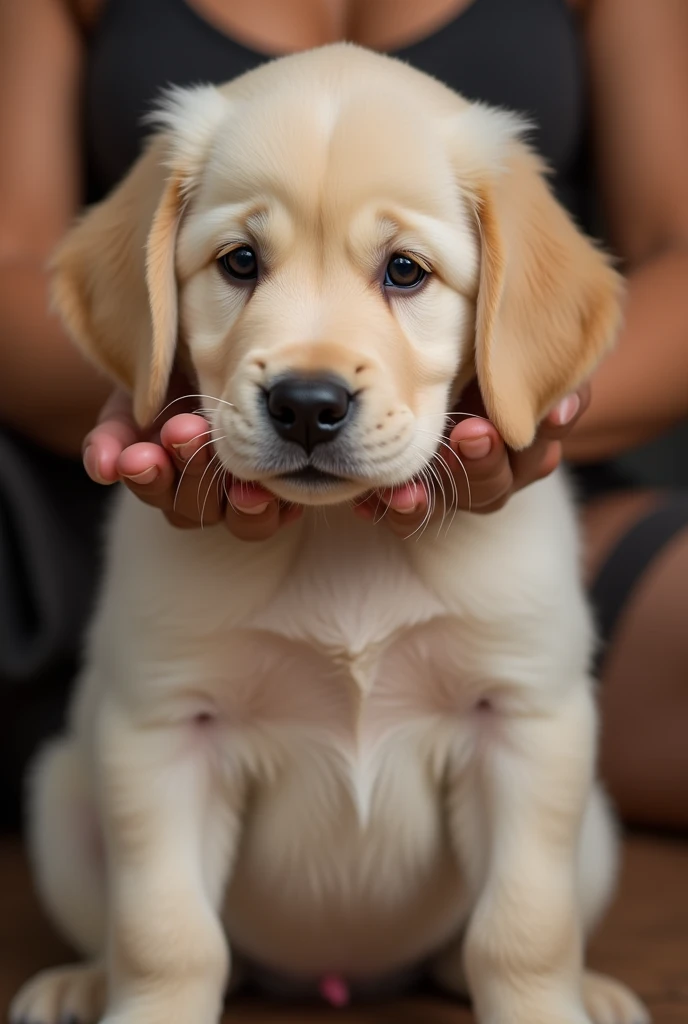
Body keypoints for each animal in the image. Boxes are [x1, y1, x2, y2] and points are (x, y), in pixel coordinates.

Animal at [14, 44, 651, 1024]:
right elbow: (165, 935)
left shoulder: (526, 721)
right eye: (240, 262)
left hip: (597, 833)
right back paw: (78, 983)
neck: (336, 539)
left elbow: (522, 929)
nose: (307, 405)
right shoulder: (162, 731)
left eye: (405, 272)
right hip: (59, 796)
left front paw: (549, 1005)